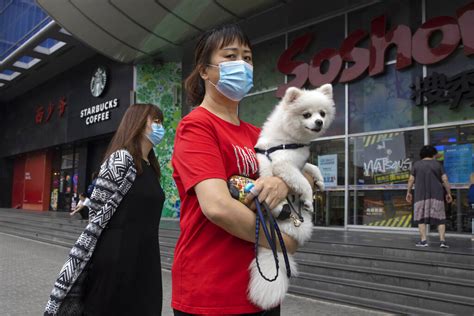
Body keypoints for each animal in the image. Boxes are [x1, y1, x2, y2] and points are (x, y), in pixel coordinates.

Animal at [250, 83, 336, 308]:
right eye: (307, 114)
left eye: (322, 113)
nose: (319, 122)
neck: (288, 140)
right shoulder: (283, 165)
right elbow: (302, 182)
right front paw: (308, 198)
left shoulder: (299, 163)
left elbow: (311, 167)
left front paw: (320, 180)